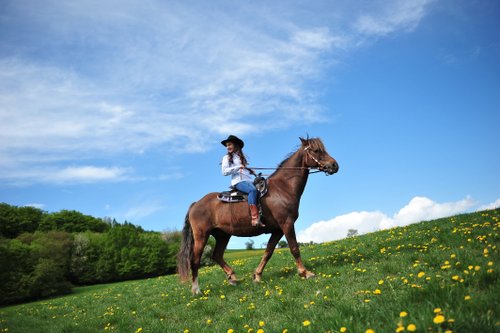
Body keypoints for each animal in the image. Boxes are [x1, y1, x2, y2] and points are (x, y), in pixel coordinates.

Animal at [177, 137, 340, 294]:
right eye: (316, 150)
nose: (334, 165)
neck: (283, 188)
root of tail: (196, 204)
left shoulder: (278, 230)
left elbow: (268, 251)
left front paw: (257, 276)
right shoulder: (287, 224)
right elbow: (294, 248)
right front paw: (305, 273)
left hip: (223, 235)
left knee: (217, 255)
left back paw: (233, 278)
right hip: (201, 236)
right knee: (195, 260)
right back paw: (196, 289)